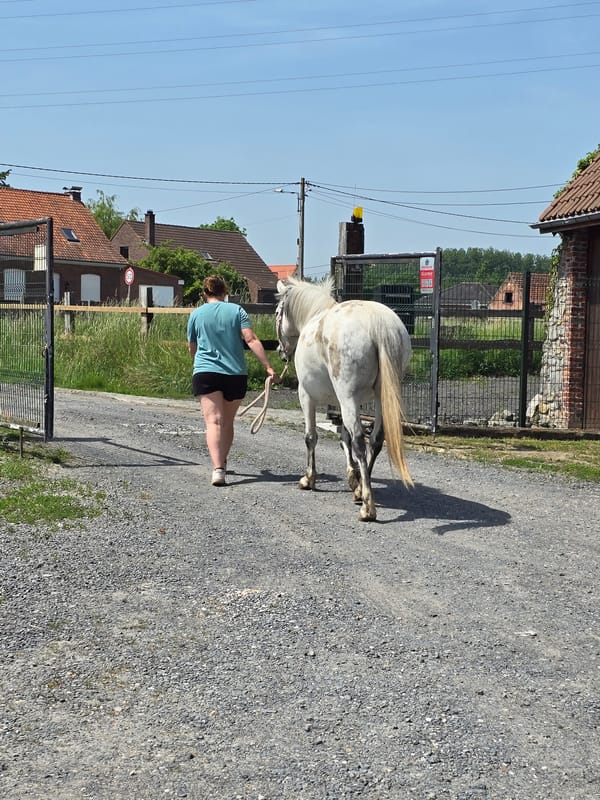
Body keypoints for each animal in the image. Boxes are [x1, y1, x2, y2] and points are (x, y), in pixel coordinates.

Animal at [275, 275, 413, 521]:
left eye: (276, 312)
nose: (280, 351)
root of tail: (378, 323)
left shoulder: (307, 396)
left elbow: (311, 437)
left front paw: (309, 479)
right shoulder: (344, 402)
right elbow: (344, 438)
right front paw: (353, 478)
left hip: (347, 396)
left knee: (360, 440)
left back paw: (367, 506)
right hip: (380, 399)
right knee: (375, 440)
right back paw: (361, 489)